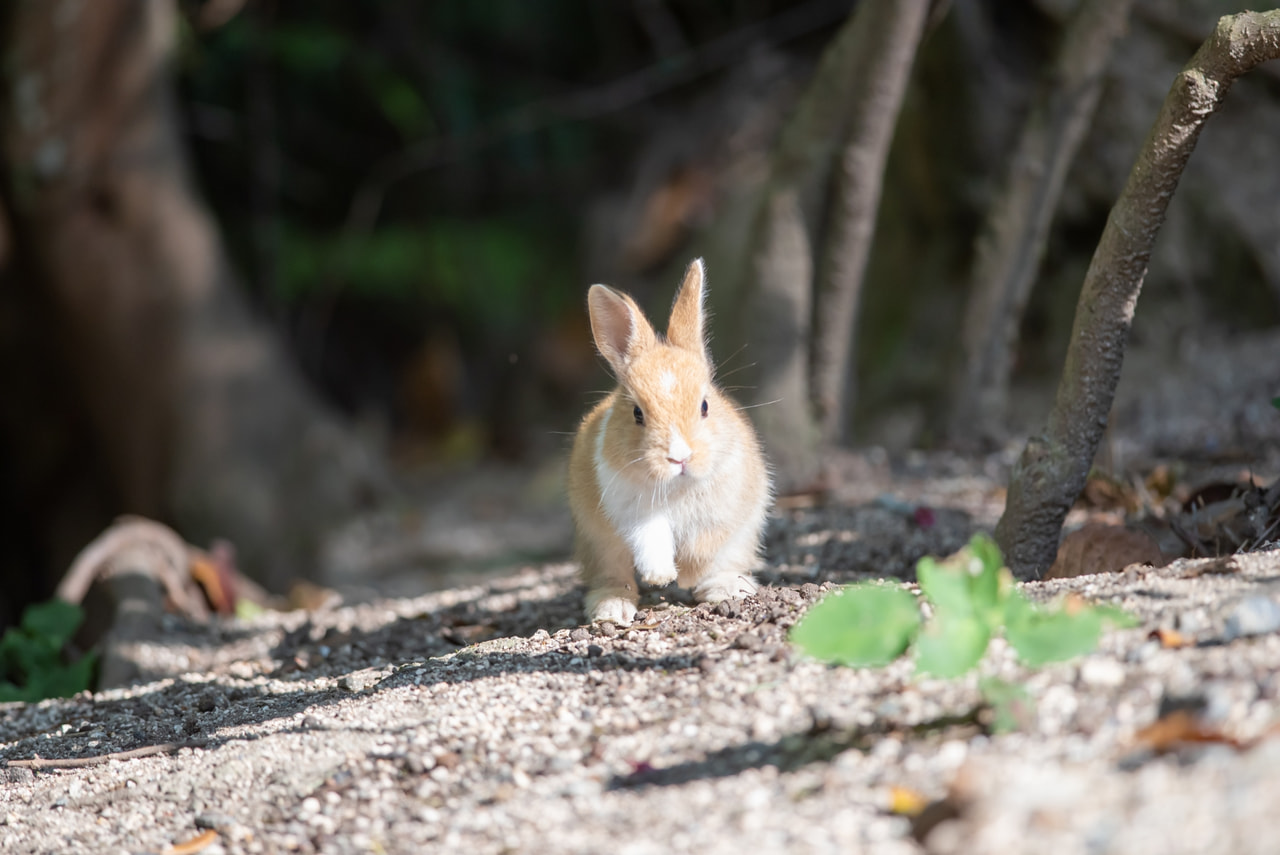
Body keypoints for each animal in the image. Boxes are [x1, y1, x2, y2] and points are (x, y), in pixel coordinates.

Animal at [568, 257, 768, 624]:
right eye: (637, 413)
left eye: (704, 406)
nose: (680, 457)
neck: (677, 485)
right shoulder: (634, 513)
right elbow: (651, 541)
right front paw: (662, 576)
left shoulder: (723, 508)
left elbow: (705, 546)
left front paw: (688, 576)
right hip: (599, 548)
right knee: (615, 576)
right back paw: (612, 607)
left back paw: (726, 588)